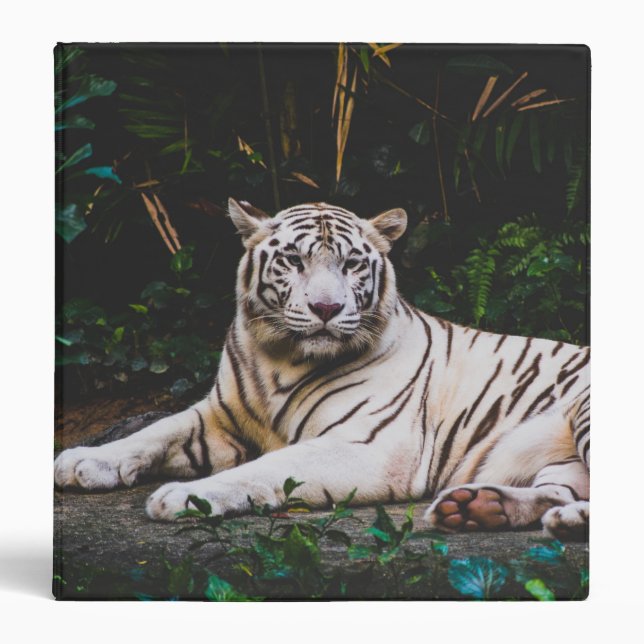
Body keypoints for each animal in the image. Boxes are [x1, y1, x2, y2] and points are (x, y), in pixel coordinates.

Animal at [54, 199, 590, 540]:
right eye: (292, 259)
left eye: (351, 264)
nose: (327, 308)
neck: (280, 358)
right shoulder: (219, 417)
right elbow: (154, 431)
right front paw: (82, 461)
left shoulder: (369, 446)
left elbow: (268, 467)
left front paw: (186, 497)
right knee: (555, 492)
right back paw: (480, 510)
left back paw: (562, 520)